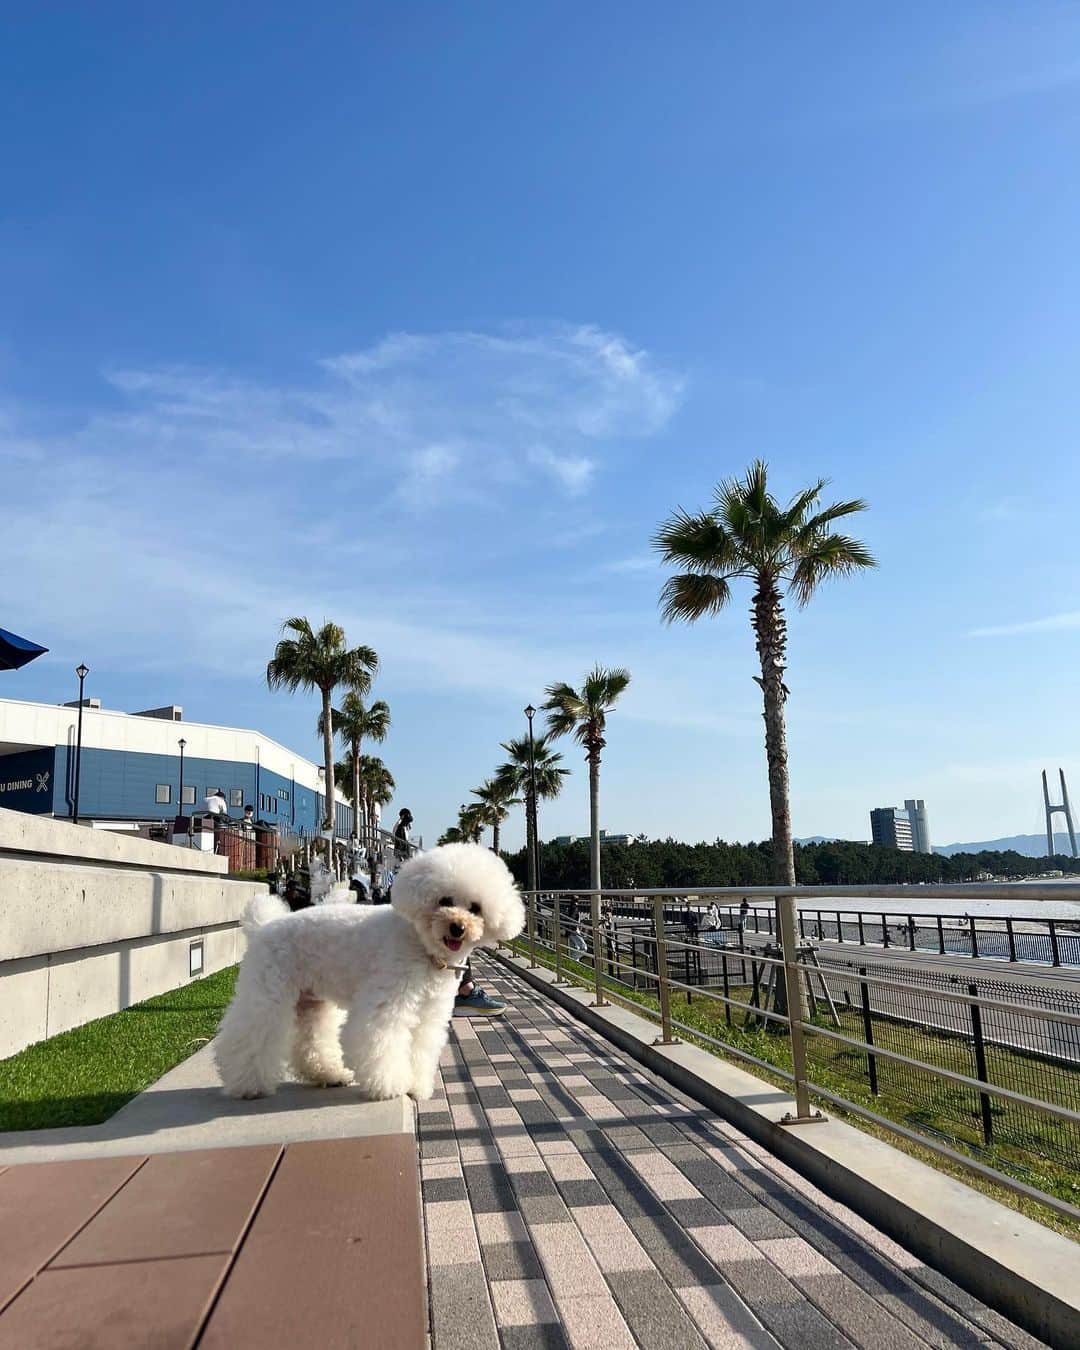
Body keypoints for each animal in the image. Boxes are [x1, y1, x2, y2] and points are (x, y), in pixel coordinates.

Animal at [211, 847, 523, 1101]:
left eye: (475, 908)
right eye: (444, 900)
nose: (457, 927)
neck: (422, 946)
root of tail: (262, 927)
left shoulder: (429, 1014)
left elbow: (420, 1048)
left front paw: (417, 1087)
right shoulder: (386, 1002)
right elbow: (379, 1040)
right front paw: (391, 1086)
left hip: (312, 1001)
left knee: (311, 1040)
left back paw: (329, 1073)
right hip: (268, 991)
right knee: (250, 1034)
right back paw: (248, 1085)